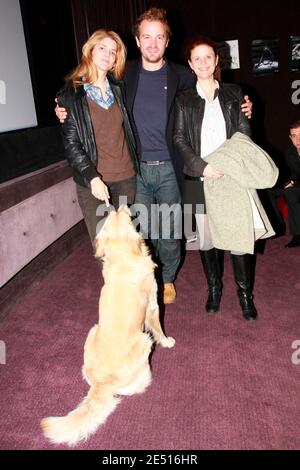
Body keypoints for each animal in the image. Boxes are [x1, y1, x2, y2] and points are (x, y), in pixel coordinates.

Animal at [40, 205, 176, 444]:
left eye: (112, 216)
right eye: (122, 216)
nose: (120, 205)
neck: (123, 258)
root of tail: (102, 383)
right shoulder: (153, 305)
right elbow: (159, 328)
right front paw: (168, 341)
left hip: (92, 331)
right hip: (143, 341)